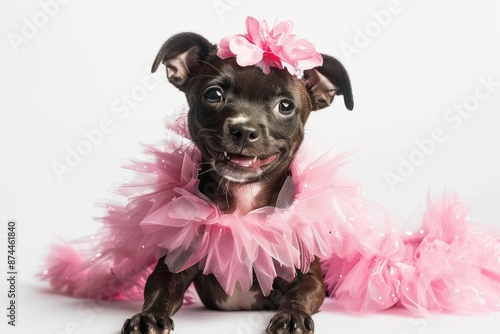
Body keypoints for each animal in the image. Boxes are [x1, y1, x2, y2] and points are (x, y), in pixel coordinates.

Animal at [120, 32, 354, 334]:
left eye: (286, 106)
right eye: (213, 95)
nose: (244, 129)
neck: (243, 200)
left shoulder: (309, 278)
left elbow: (300, 295)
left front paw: (291, 316)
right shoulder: (170, 269)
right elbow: (159, 292)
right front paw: (147, 317)